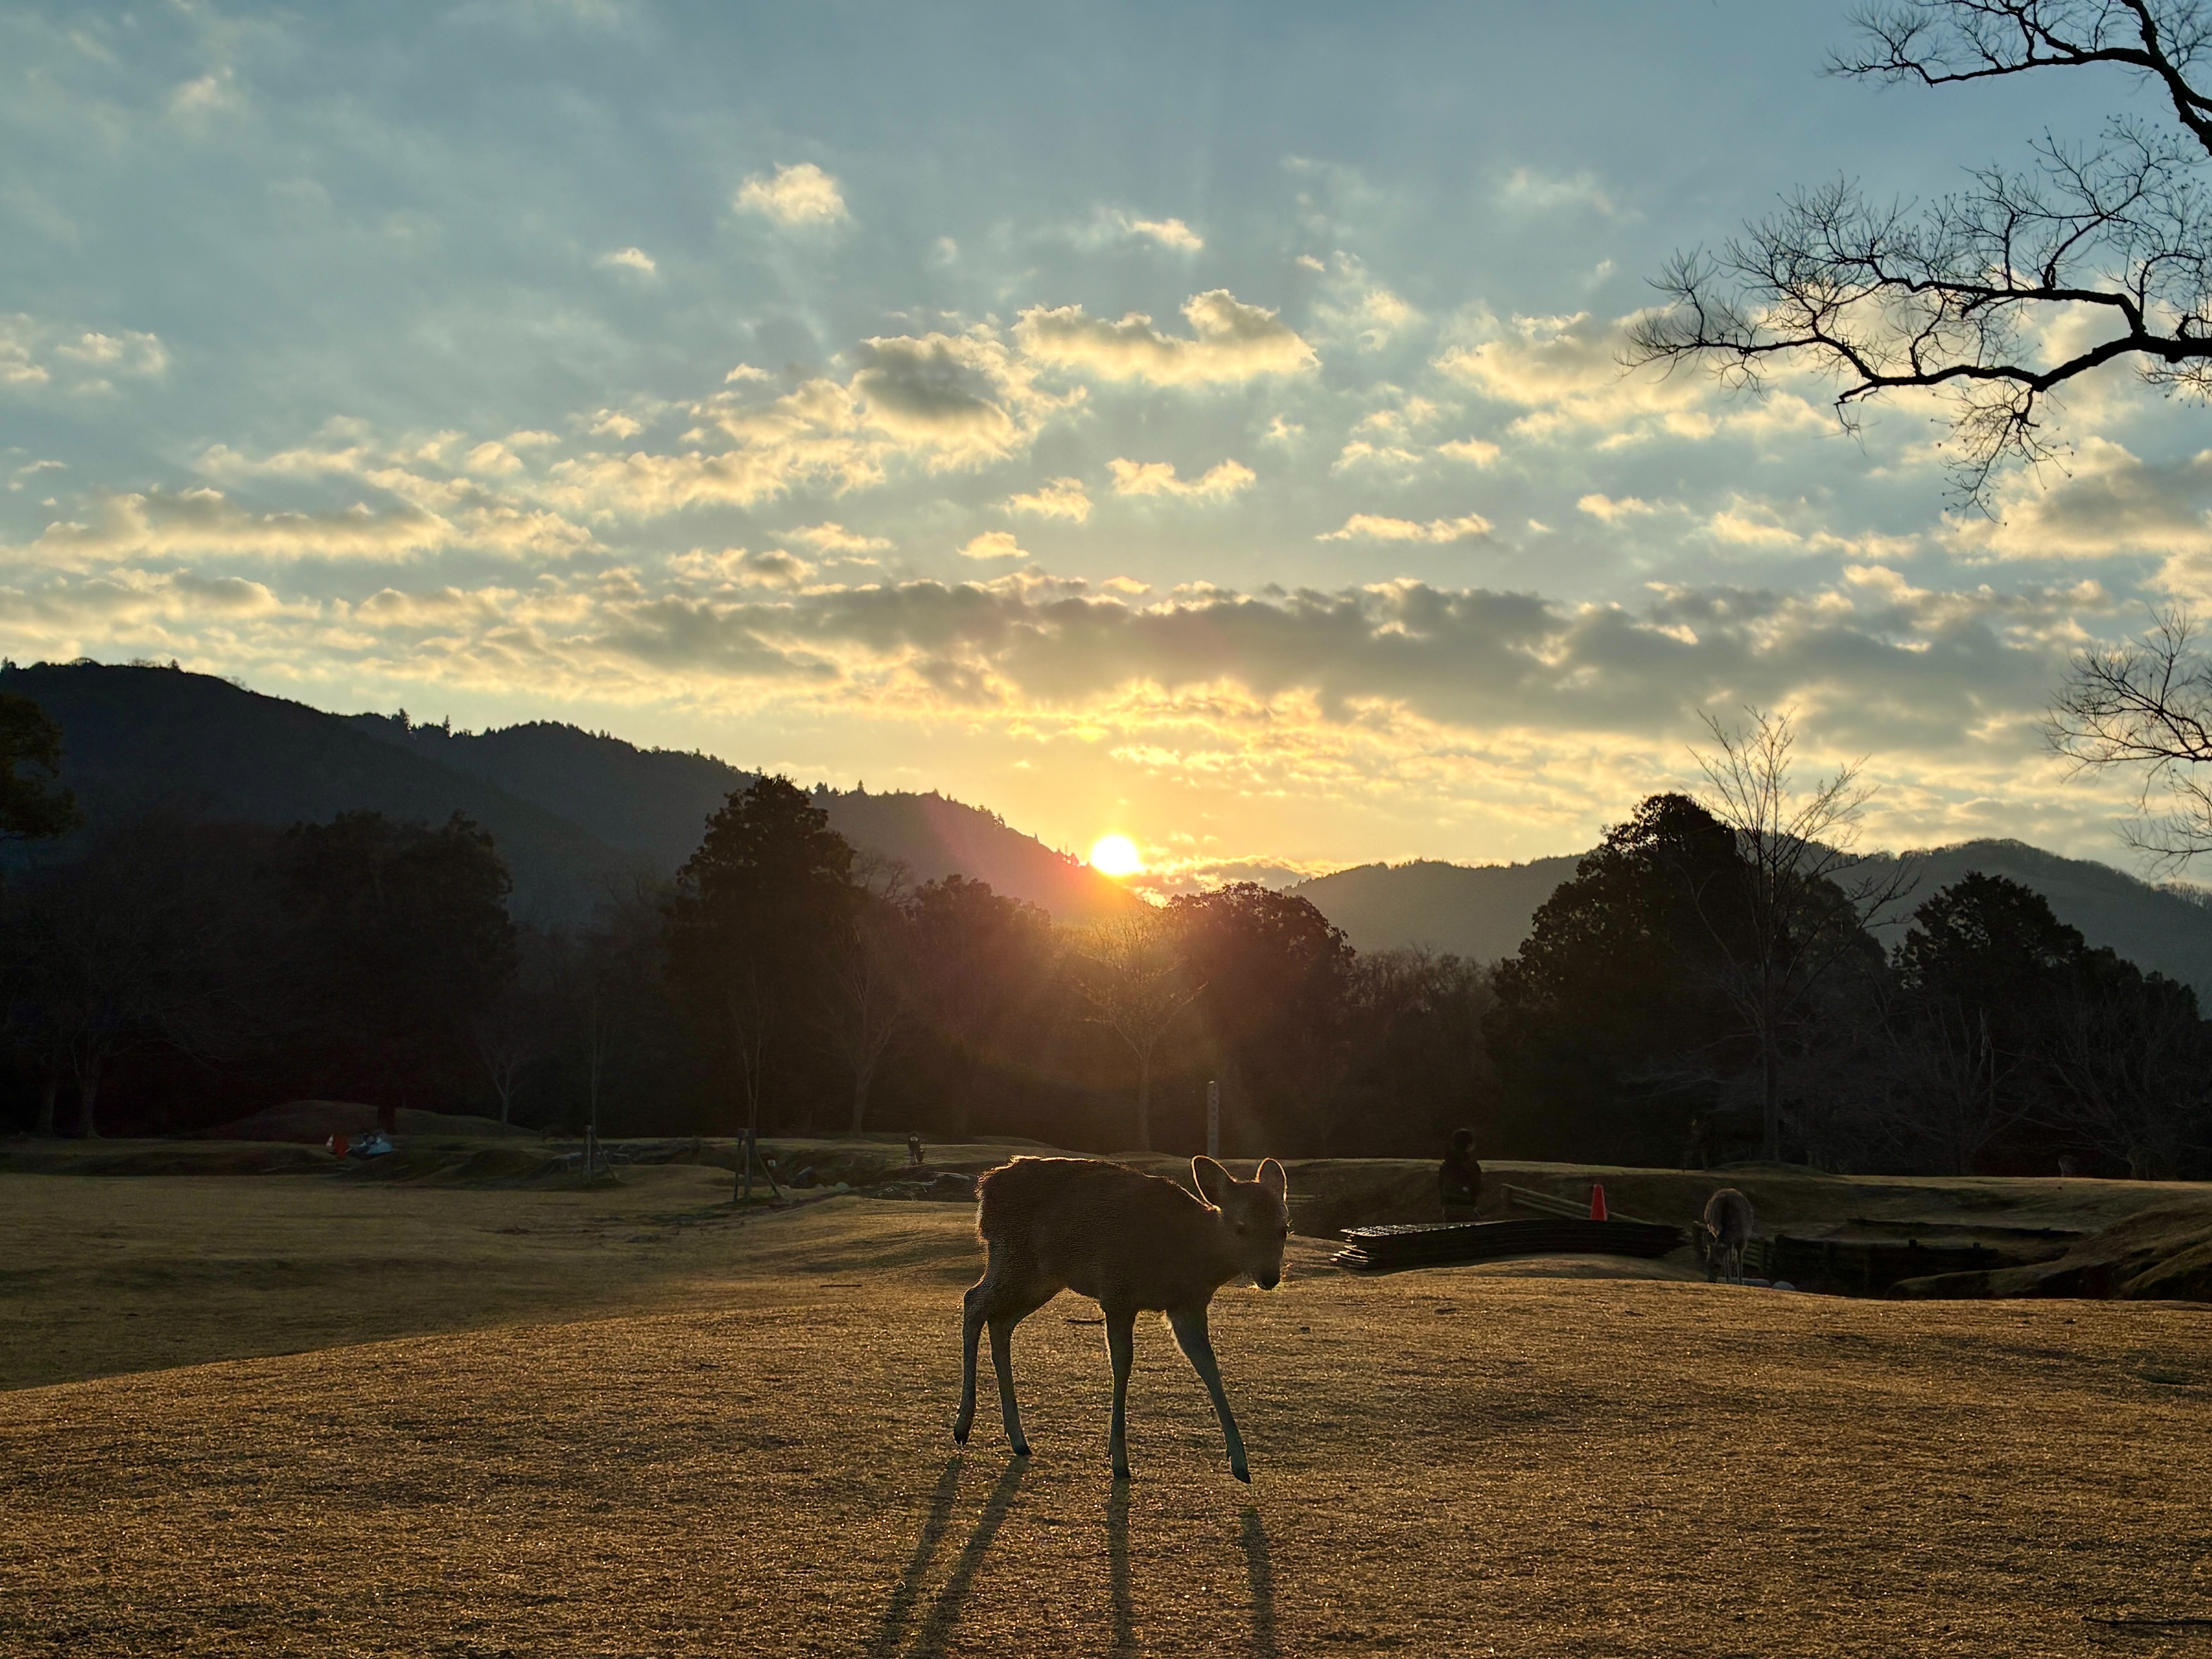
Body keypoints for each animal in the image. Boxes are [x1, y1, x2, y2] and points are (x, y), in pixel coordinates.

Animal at [953, 1154, 1289, 1484]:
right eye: (1241, 1228)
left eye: (1284, 1228)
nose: (1270, 1277)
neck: (1186, 1258)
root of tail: (986, 1188)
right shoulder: (1117, 1292)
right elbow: (1122, 1364)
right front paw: (1119, 1459)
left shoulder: (1187, 1306)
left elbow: (1209, 1366)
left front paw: (1240, 1463)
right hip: (1015, 1258)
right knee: (974, 1301)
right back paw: (962, 1427)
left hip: (1041, 1279)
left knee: (1000, 1321)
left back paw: (1018, 1439)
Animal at [1703, 1187, 1754, 1284]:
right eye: (1708, 1261)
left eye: (1718, 1265)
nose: (1710, 1281)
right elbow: (1727, 1258)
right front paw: (1728, 1278)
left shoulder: (1742, 1238)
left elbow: (1739, 1258)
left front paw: (1741, 1282)